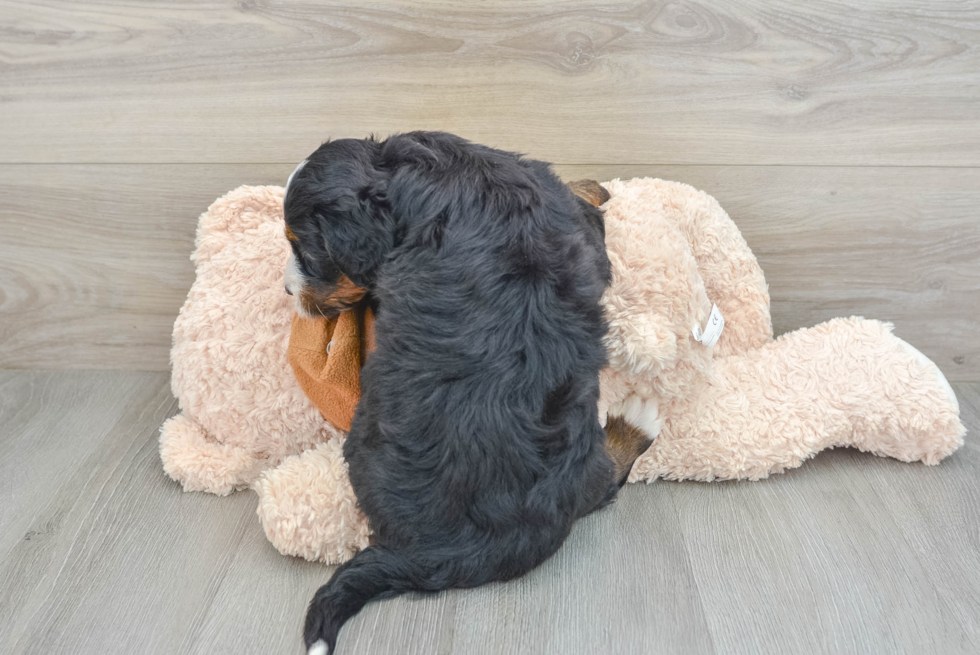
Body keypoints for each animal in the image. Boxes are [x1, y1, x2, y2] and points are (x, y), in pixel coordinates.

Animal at [284, 131, 648, 652]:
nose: (286, 291)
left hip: (362, 441)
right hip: (581, 453)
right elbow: (587, 213)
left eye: (308, 253)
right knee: (601, 483)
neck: (404, 174)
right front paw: (595, 187)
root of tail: (456, 550)